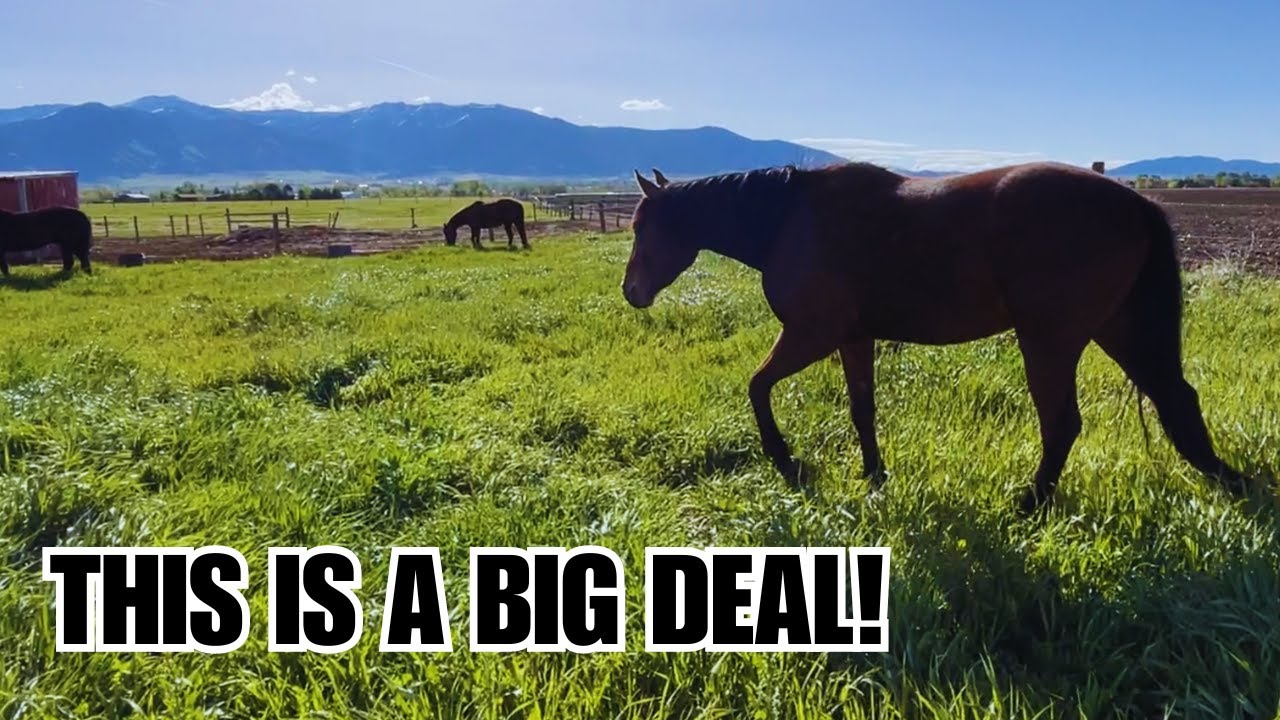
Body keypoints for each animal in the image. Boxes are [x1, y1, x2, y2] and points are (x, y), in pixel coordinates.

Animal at [621, 162, 1248, 515]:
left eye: (643, 226)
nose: (631, 292)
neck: (787, 220)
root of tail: (1133, 201)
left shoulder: (809, 335)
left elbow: (756, 387)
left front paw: (788, 462)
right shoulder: (853, 339)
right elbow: (862, 410)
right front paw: (874, 477)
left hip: (1051, 341)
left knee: (1063, 424)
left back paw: (1030, 504)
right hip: (1118, 329)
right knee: (1175, 398)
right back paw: (1223, 477)